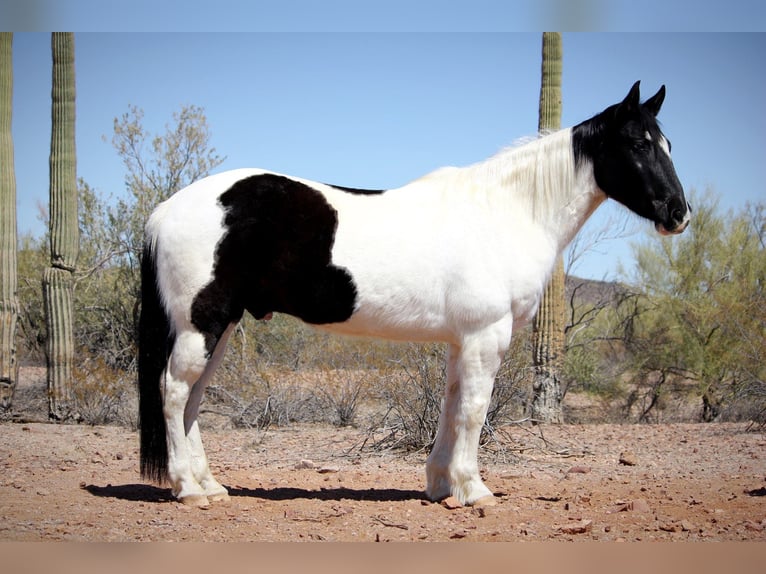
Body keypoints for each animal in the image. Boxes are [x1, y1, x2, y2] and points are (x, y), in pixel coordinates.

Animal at [138, 81, 688, 508]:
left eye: (668, 143)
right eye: (638, 144)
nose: (678, 213)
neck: (507, 212)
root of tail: (164, 211)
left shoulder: (462, 341)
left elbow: (451, 404)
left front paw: (442, 486)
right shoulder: (486, 336)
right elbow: (474, 409)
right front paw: (474, 490)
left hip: (222, 326)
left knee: (192, 400)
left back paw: (210, 486)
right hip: (201, 323)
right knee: (174, 391)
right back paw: (188, 489)